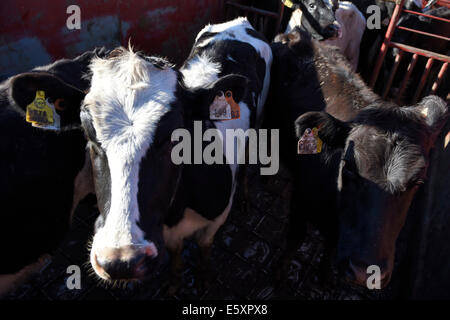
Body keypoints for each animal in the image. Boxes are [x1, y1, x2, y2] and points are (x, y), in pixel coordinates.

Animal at [80, 17, 270, 290]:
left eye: (175, 136)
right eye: (88, 133)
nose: (121, 260)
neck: (180, 209)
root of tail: (238, 21)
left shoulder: (217, 217)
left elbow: (204, 245)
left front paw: (203, 274)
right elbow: (176, 252)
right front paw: (175, 280)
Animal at [264, 27, 446, 288]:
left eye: (417, 182)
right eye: (349, 167)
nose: (364, 271)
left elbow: (331, 247)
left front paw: (326, 275)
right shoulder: (301, 196)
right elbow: (296, 238)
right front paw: (280, 275)